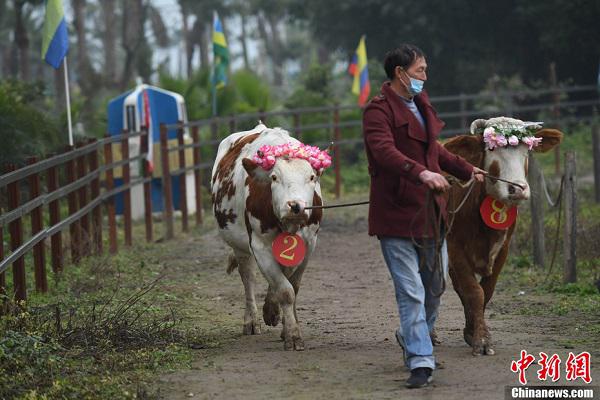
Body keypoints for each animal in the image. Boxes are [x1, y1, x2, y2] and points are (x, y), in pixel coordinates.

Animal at [211, 123, 324, 352]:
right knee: (248, 278)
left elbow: (292, 285)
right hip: (240, 247)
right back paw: (251, 321)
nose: (295, 206)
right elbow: (285, 290)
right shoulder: (259, 246)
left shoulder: (309, 244)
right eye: (274, 177)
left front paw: (283, 322)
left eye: (311, 177)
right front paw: (293, 335)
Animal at [440, 116, 564, 356]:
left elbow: (486, 291)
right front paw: (481, 340)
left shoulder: (503, 250)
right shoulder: (455, 247)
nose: (517, 189)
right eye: (491, 148)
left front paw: (477, 332)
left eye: (527, 150)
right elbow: (473, 291)